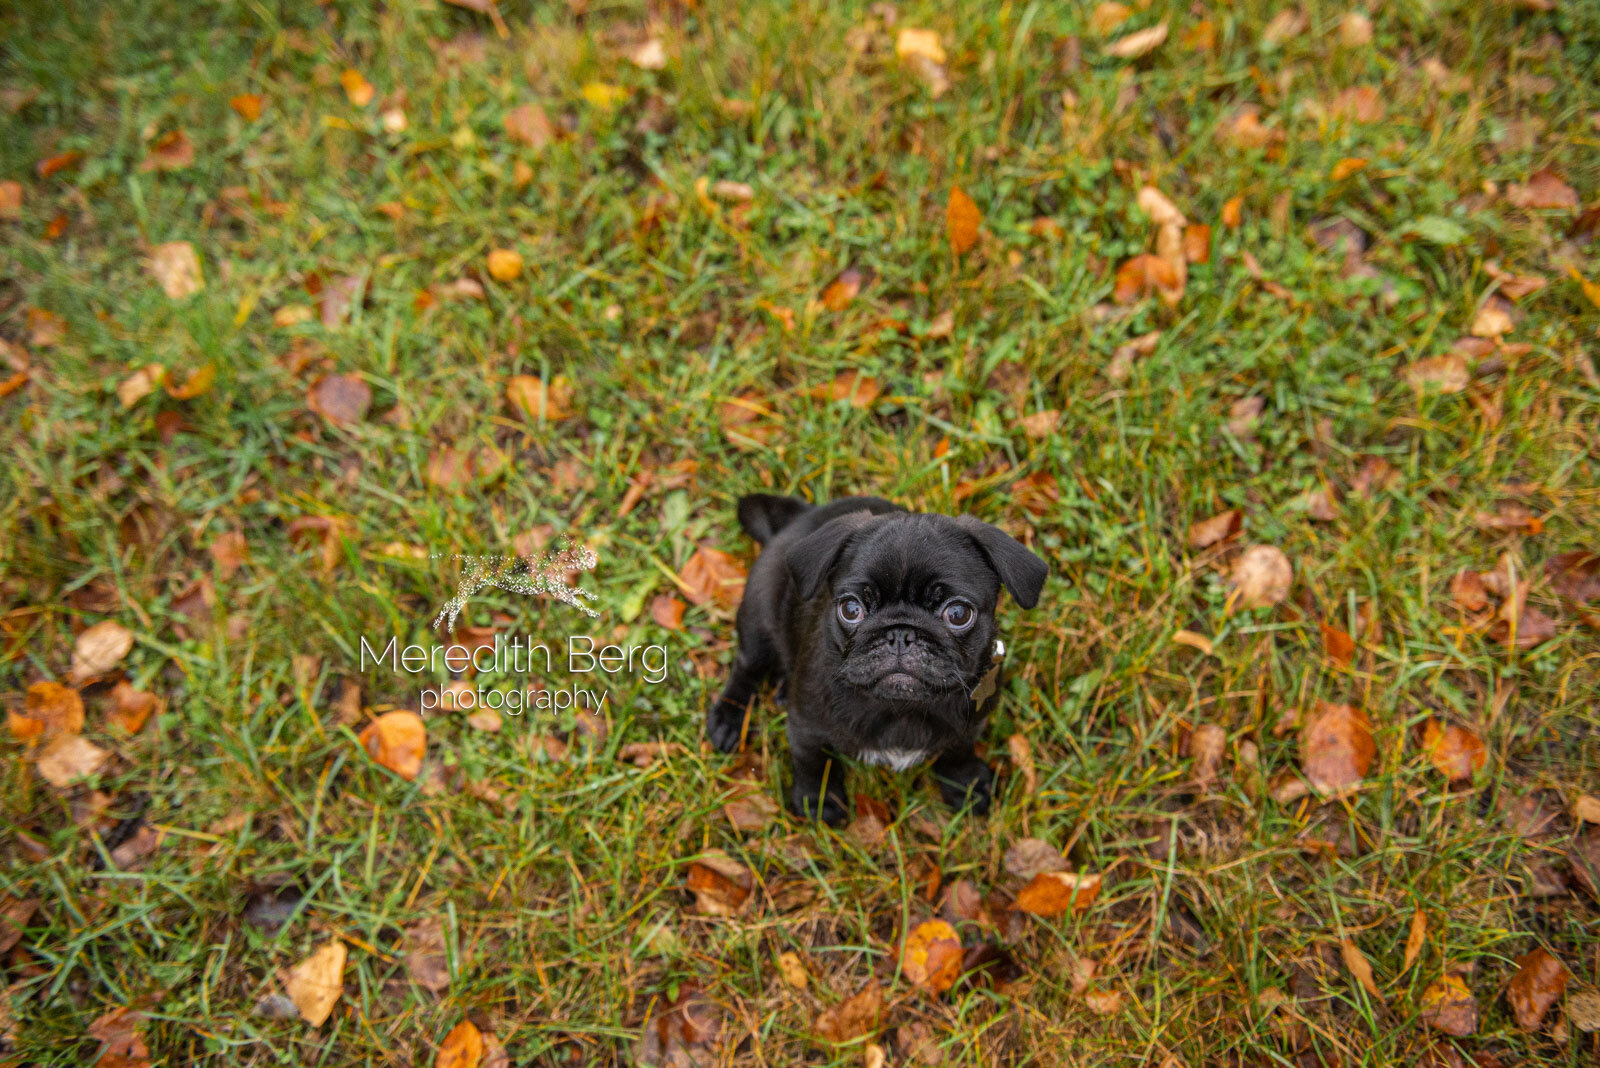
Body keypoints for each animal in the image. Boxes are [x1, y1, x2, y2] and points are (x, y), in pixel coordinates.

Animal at [707, 495, 1043, 824]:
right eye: (851, 609)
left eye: (959, 614)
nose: (900, 634)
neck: (901, 708)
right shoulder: (806, 728)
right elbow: (814, 762)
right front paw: (819, 801)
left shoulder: (969, 724)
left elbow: (957, 753)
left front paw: (965, 785)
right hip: (758, 616)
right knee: (747, 667)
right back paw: (728, 719)